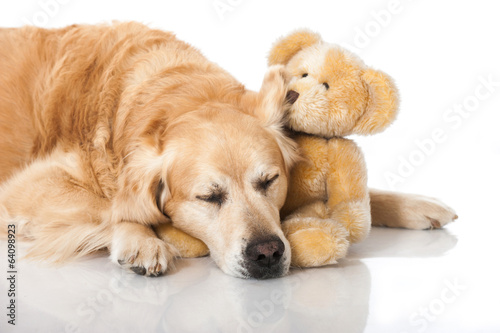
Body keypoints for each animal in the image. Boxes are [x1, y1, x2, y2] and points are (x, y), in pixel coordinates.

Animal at [0, 22, 456, 278]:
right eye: (208, 197)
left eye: (269, 181)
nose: (268, 253)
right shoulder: (21, 189)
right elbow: (113, 205)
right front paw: (141, 240)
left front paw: (416, 204)